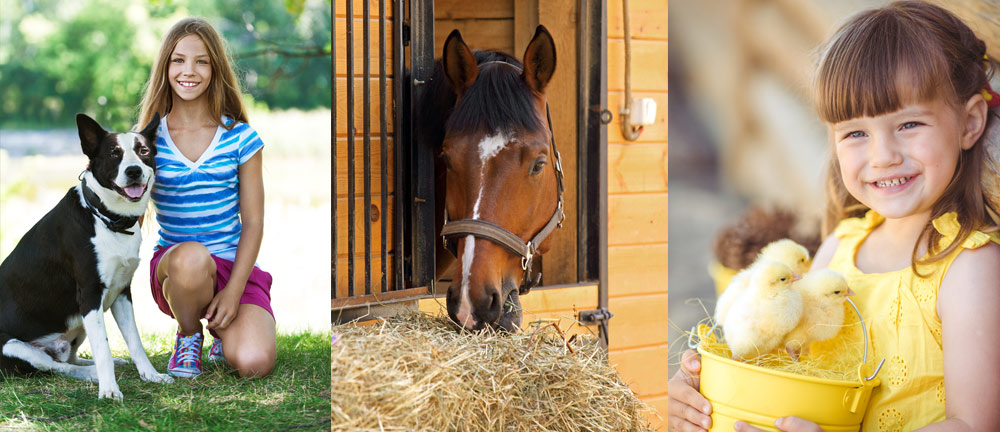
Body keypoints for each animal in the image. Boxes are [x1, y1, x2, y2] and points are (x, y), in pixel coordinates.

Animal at [0, 113, 173, 400]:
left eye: (143, 151)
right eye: (114, 154)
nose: (133, 171)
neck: (106, 218)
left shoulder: (122, 292)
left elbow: (135, 341)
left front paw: (150, 374)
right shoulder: (90, 295)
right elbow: (102, 348)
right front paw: (110, 390)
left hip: (78, 325)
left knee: (68, 359)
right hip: (14, 347)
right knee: (58, 368)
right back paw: (93, 374)